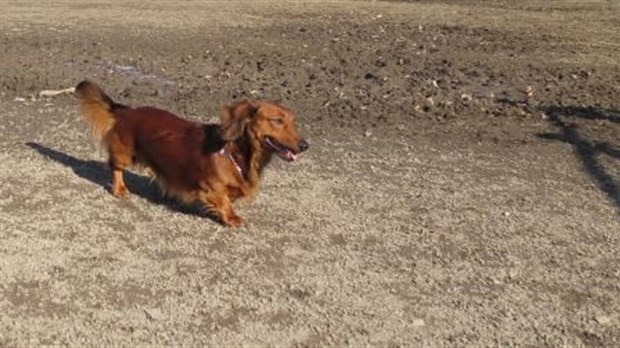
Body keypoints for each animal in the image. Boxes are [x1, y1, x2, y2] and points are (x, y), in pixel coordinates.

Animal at [75, 80, 308, 227]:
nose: (305, 145)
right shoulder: (209, 187)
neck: (233, 153)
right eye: (277, 121)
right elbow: (223, 201)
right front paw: (232, 217)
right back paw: (120, 189)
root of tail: (127, 111)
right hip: (125, 154)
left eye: (293, 122)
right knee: (115, 168)